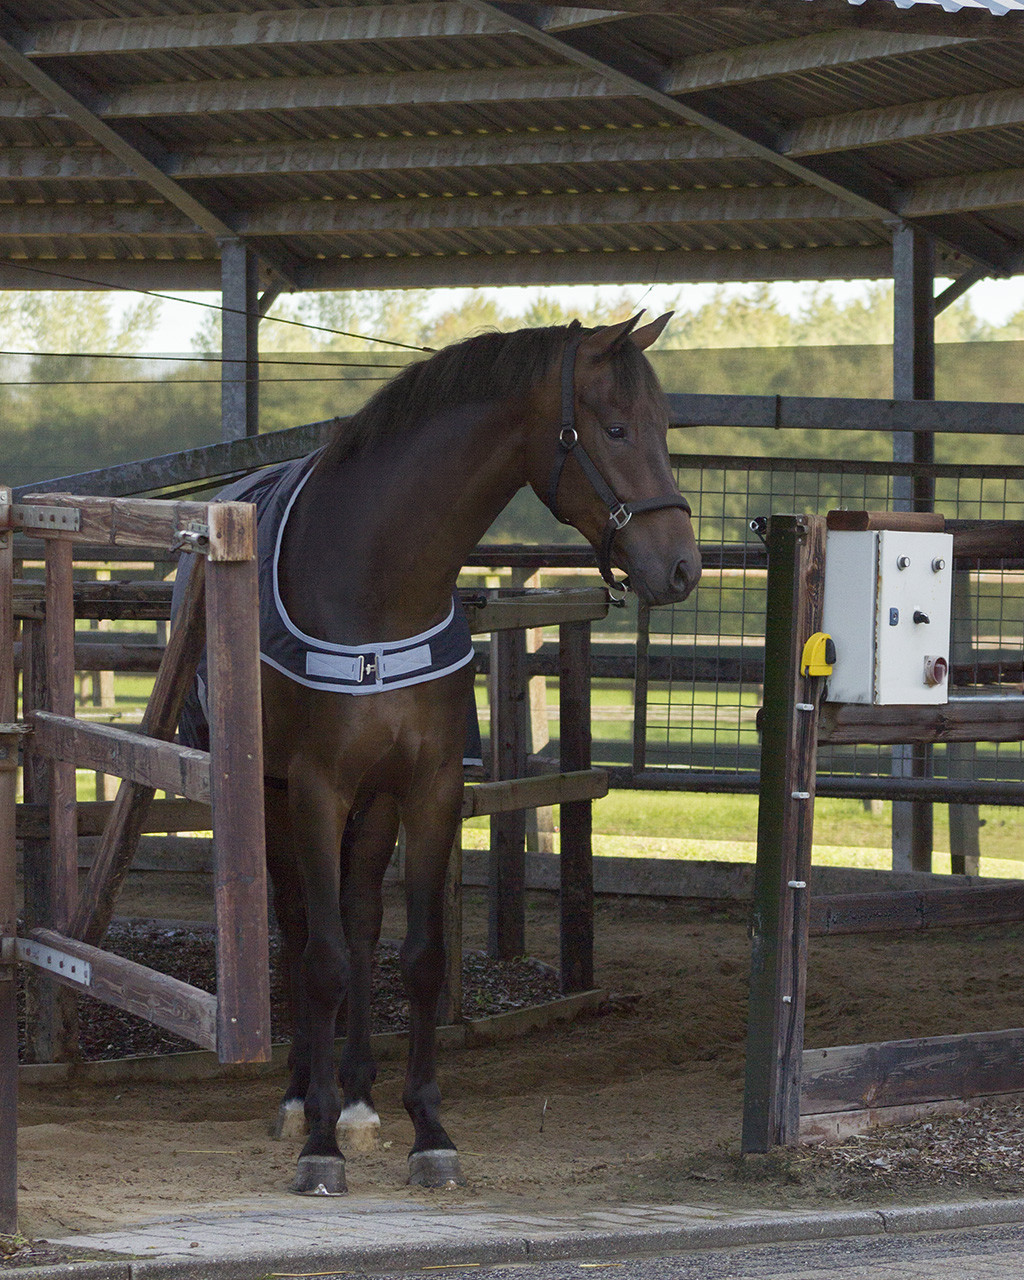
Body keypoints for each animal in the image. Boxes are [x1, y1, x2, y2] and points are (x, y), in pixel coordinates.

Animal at [178, 312, 700, 1195]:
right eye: (615, 428)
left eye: (665, 426)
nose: (683, 567)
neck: (379, 578)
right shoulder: (316, 787)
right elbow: (319, 958)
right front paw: (318, 1144)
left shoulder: (427, 788)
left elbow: (419, 957)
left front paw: (427, 1127)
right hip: (276, 792)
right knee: (300, 928)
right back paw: (302, 1096)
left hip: (375, 802)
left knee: (358, 922)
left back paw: (357, 1099)